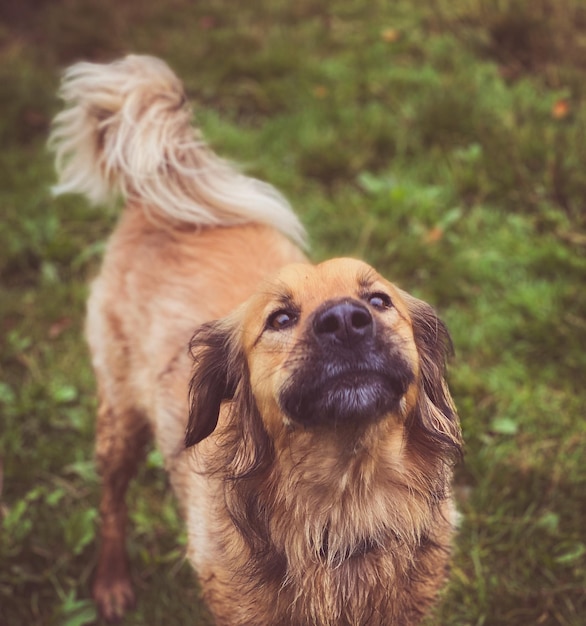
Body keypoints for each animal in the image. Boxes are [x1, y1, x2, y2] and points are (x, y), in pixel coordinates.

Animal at [49, 54, 460, 624]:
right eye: (279, 319)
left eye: (379, 301)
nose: (345, 321)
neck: (345, 506)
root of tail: (155, 199)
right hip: (120, 417)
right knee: (111, 499)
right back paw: (111, 582)